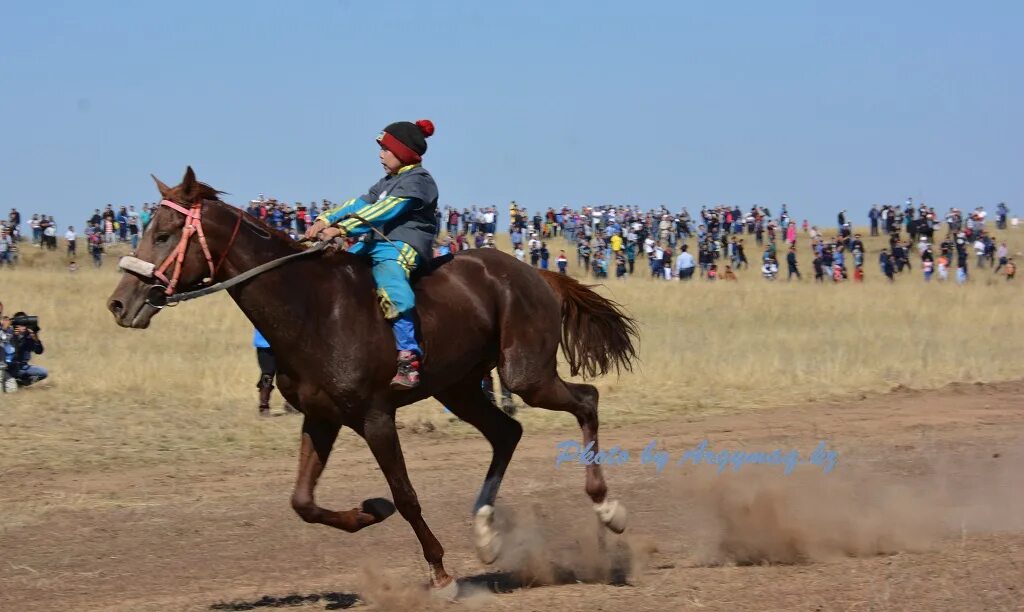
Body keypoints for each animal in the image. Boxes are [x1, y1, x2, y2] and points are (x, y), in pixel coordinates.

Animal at [110, 166, 638, 593]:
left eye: (164, 234)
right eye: (147, 227)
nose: (120, 302)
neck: (312, 306)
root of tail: (535, 273)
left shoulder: (376, 417)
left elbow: (407, 496)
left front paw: (440, 573)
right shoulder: (322, 417)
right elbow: (303, 501)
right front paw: (370, 510)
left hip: (525, 374)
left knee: (586, 400)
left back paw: (607, 509)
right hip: (460, 387)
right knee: (508, 431)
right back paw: (487, 533)